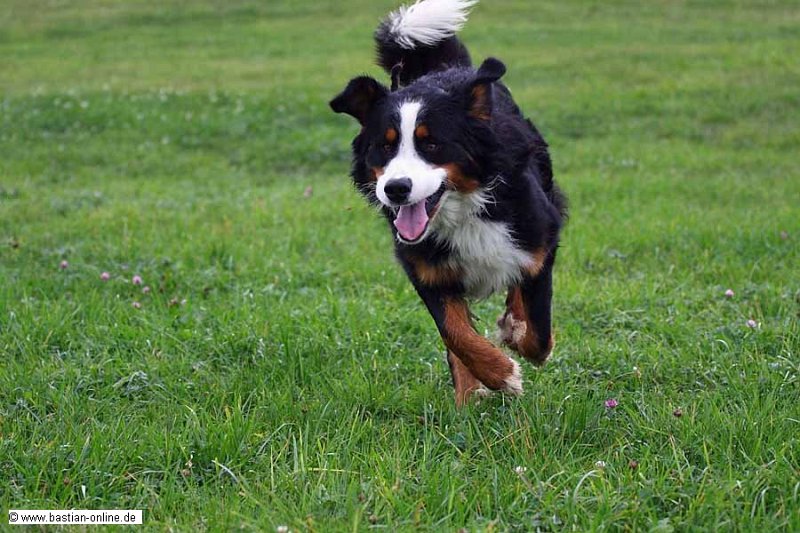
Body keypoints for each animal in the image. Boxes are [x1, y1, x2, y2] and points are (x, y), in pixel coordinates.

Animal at [330, 0, 566, 406]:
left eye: (432, 143)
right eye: (384, 146)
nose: (396, 189)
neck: (466, 210)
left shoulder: (540, 237)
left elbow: (537, 329)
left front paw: (514, 334)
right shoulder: (425, 265)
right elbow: (454, 333)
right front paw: (497, 374)